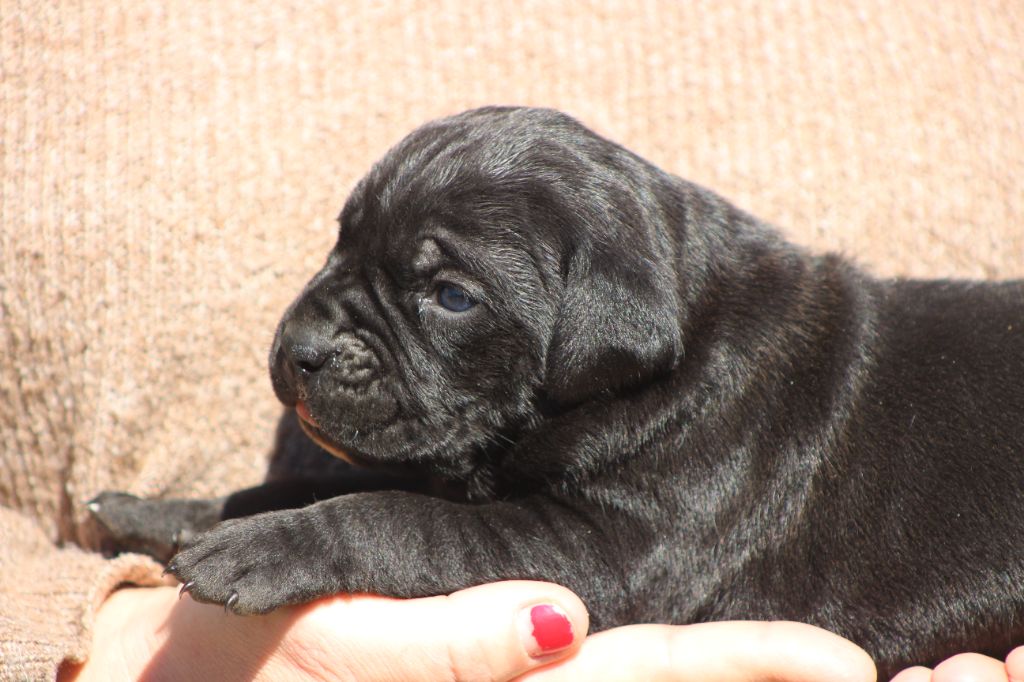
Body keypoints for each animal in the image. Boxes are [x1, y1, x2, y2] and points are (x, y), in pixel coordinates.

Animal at [91, 106, 1024, 679]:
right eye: (339, 239)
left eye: (452, 296)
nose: (298, 350)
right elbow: (296, 484)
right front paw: (166, 511)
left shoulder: (601, 551)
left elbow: (397, 518)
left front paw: (264, 549)